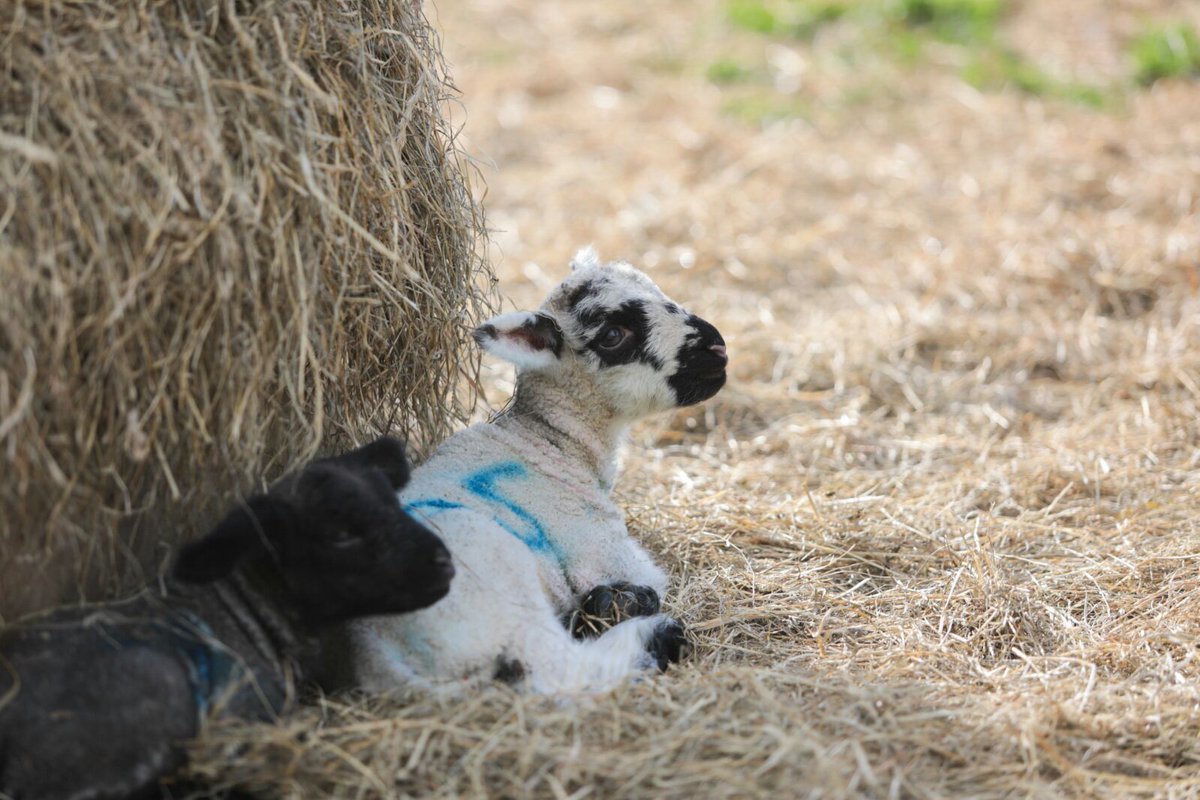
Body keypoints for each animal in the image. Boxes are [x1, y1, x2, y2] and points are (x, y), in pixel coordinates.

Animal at [346, 248, 728, 694]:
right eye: (613, 335)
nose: (718, 348)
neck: (550, 439)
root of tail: (372, 648)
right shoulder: (605, 552)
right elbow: (653, 576)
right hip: (497, 579)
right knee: (558, 666)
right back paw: (655, 633)